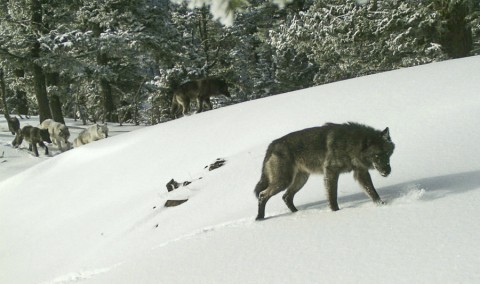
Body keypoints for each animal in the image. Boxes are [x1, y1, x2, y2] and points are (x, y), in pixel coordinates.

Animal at [253, 121, 396, 220]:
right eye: (376, 156)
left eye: (387, 154)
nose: (387, 171)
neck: (350, 144)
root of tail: (272, 145)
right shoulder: (331, 172)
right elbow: (332, 196)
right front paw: (336, 212)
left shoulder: (360, 172)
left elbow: (373, 193)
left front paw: (382, 205)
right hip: (284, 181)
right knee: (262, 195)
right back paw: (260, 218)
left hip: (301, 180)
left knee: (286, 197)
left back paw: (298, 213)